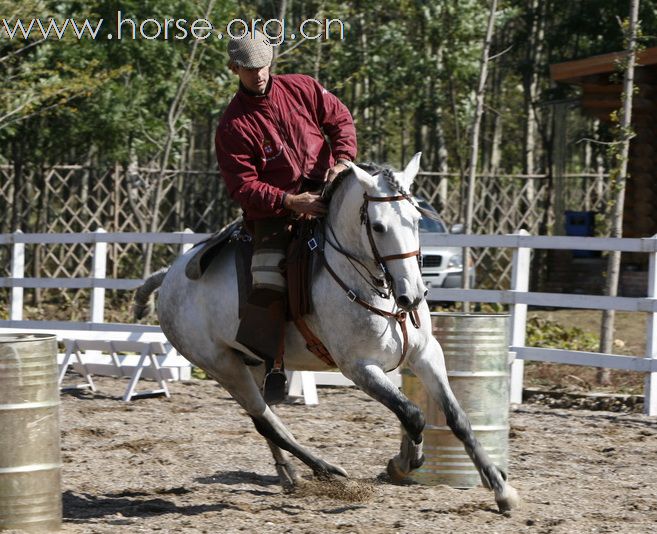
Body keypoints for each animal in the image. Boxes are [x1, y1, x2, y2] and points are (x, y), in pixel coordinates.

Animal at [135, 155, 516, 516]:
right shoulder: (359, 368)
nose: (413, 295)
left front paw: (500, 487)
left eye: (416, 220)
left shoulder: (427, 354)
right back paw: (327, 471)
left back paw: (291, 475)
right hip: (223, 366)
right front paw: (402, 464)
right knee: (265, 419)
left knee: (263, 421)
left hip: (254, 362)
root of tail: (169, 277)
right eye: (378, 226)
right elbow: (411, 413)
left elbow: (456, 418)